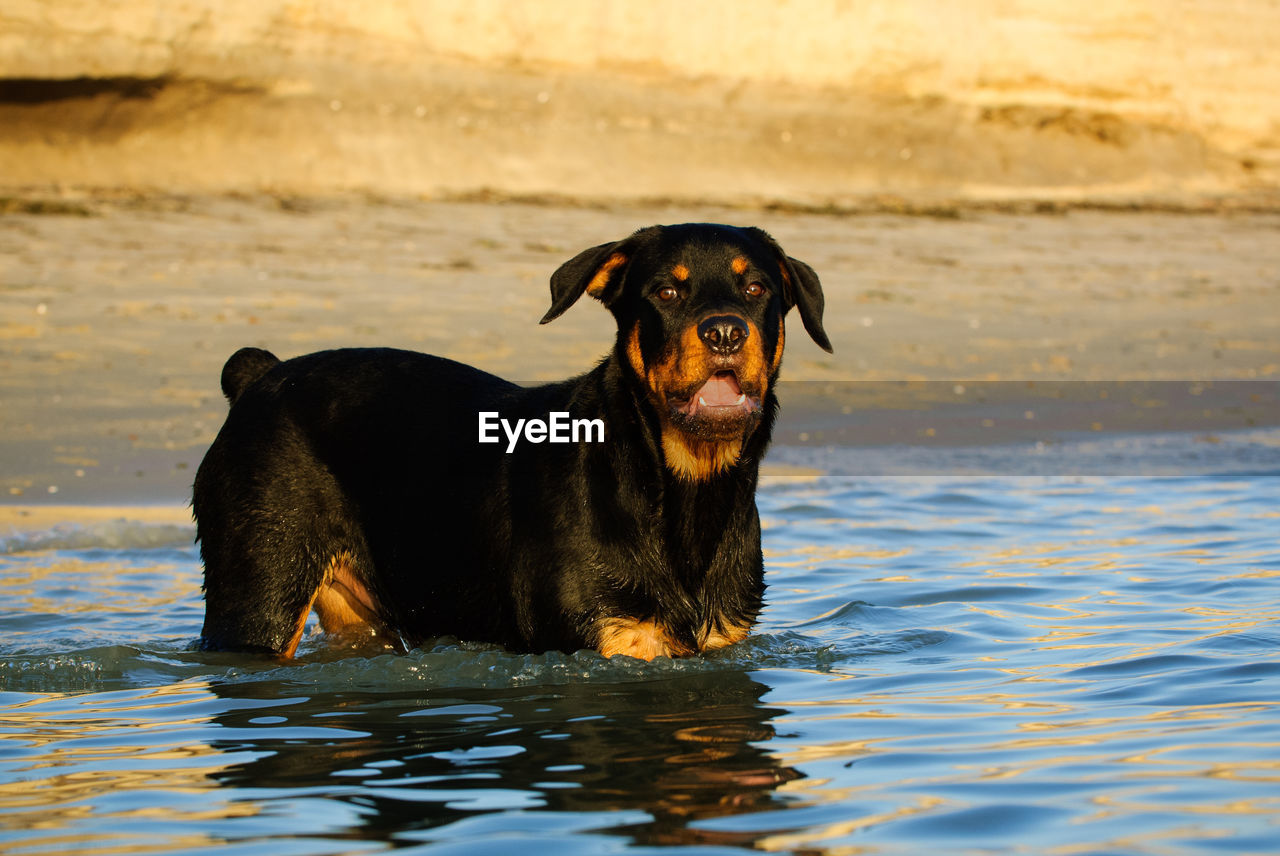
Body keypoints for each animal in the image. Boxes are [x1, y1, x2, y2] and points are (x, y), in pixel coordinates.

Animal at [189, 223, 829, 660]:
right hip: (258, 593)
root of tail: (259, 377)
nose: (725, 332)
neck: (683, 492)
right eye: (667, 294)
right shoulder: (592, 642)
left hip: (359, 615)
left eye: (756, 288)